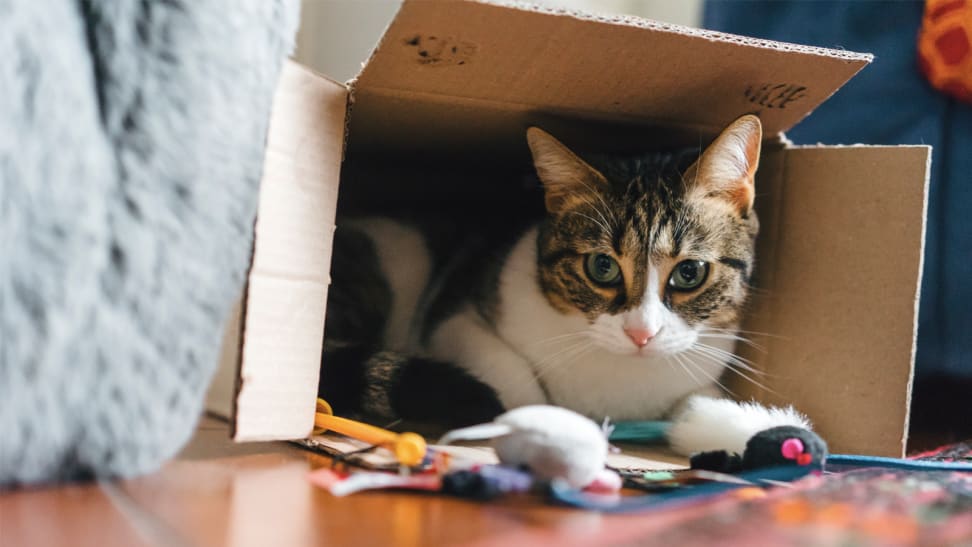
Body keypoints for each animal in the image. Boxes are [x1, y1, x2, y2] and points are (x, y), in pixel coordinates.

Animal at [318, 115, 804, 458]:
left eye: (689, 273)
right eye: (602, 266)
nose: (641, 334)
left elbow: (699, 404)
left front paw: (755, 427)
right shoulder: (452, 316)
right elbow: (512, 376)